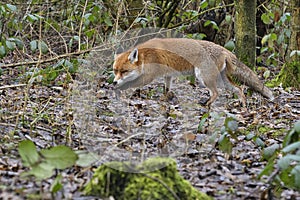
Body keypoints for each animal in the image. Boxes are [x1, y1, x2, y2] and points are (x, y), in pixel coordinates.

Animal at [112, 37, 274, 106]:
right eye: (115, 71)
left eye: (124, 71)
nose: (113, 82)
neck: (145, 56)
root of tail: (223, 49)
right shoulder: (168, 75)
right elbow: (166, 89)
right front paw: (166, 99)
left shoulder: (149, 76)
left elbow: (131, 84)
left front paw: (119, 90)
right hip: (222, 79)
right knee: (239, 89)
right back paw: (243, 106)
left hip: (203, 77)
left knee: (216, 93)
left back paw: (206, 104)